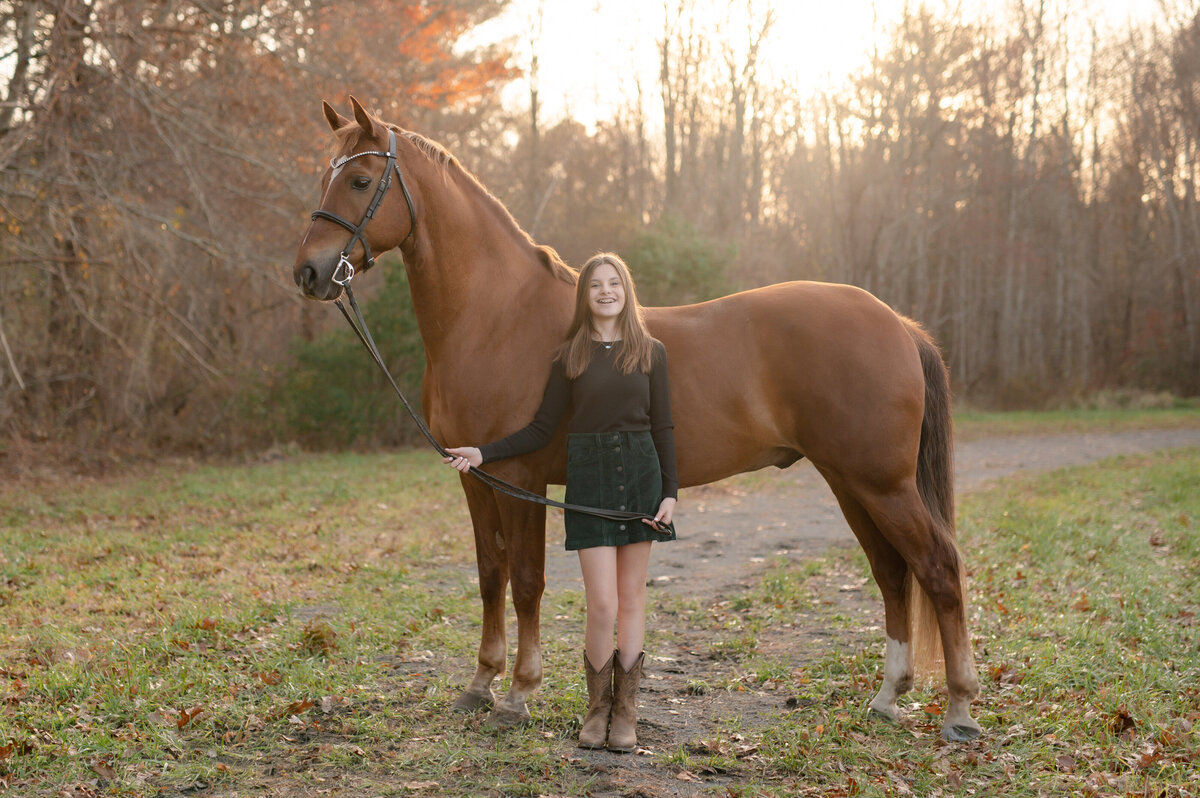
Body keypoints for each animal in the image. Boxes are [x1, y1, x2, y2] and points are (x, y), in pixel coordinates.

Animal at [292, 97, 984, 739]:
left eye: (360, 181)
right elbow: (490, 577)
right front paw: (479, 684)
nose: (309, 272)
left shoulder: (519, 477)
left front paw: (518, 693)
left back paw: (959, 710)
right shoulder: (475, 477)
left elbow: (525, 582)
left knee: (939, 569)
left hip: (881, 484)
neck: (495, 318)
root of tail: (897, 322)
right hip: (849, 482)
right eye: (325, 174)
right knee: (892, 573)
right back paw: (887, 697)